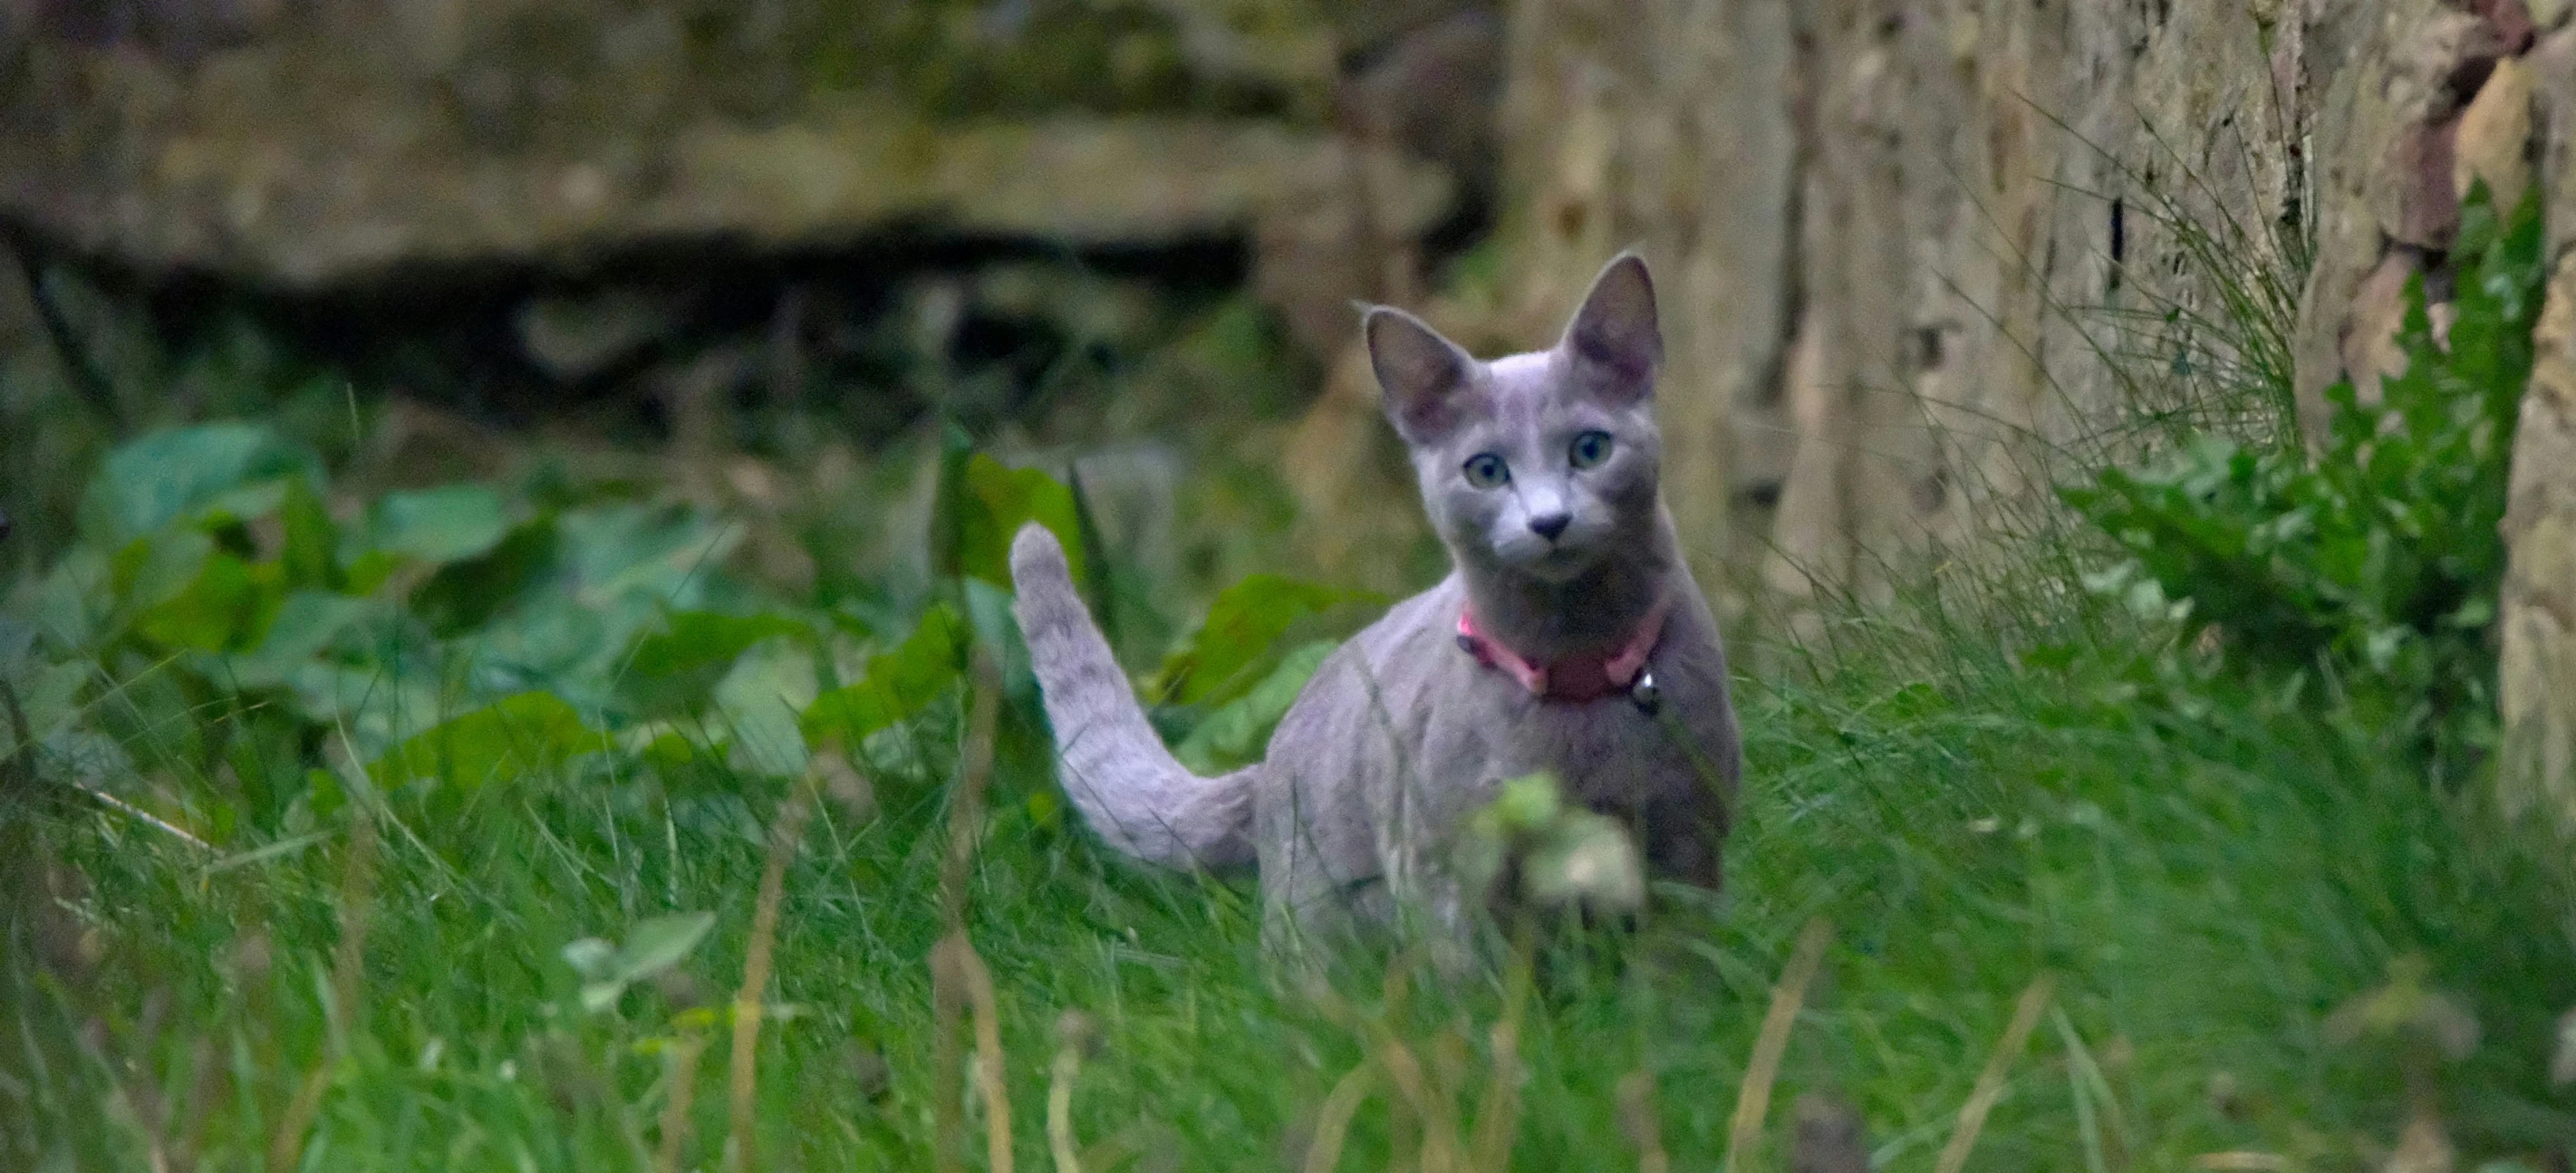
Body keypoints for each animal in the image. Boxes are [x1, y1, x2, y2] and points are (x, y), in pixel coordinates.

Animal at [1015, 255, 1741, 941]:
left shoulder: (1689, 837)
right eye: (1486, 470)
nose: (1549, 521)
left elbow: (1680, 957)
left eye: (1590, 450)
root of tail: (1267, 764)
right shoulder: (1443, 869)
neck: (1576, 661)